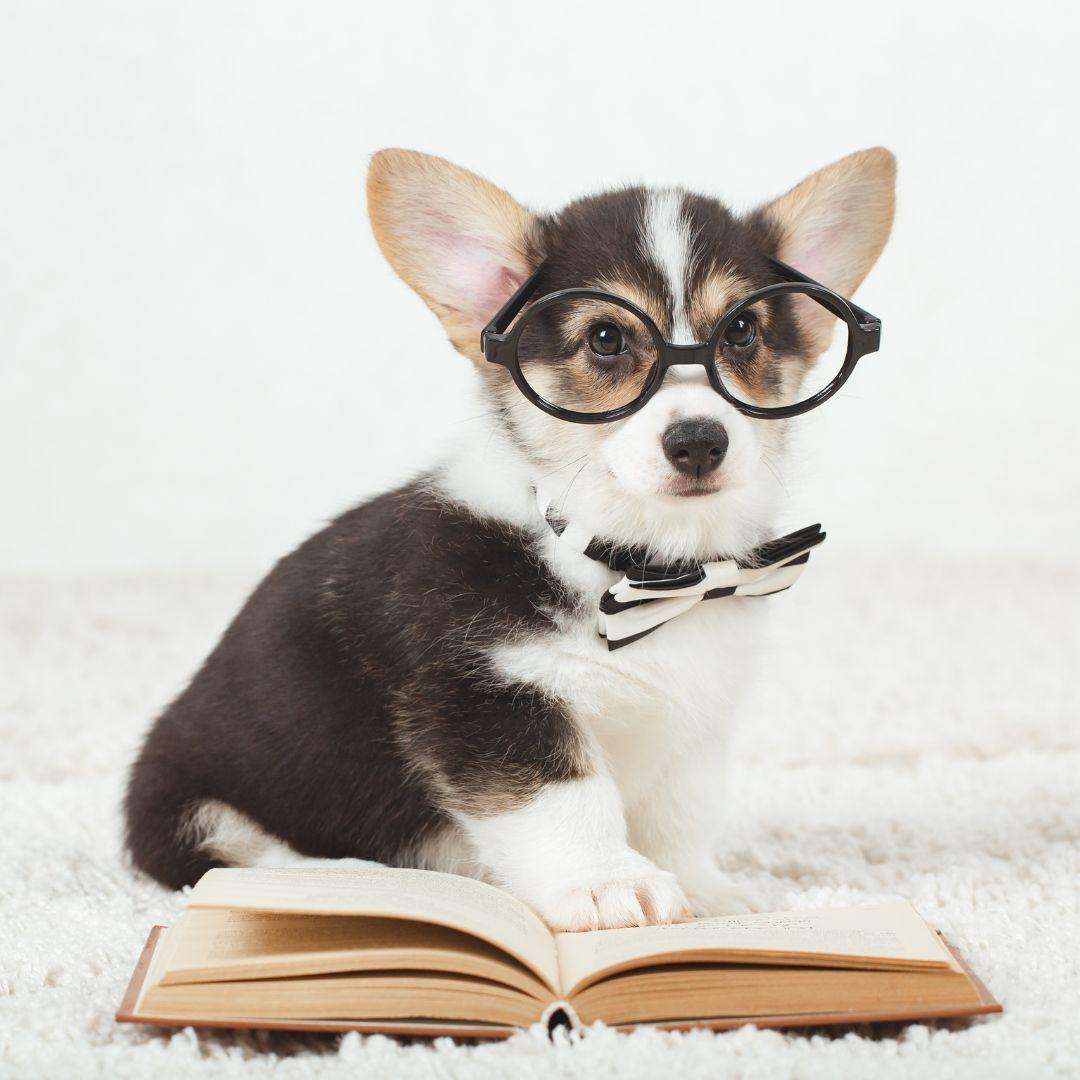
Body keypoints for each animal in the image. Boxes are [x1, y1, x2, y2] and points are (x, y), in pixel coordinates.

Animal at [124, 147, 894, 933]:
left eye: (741, 332)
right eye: (606, 338)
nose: (699, 442)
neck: (633, 565)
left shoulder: (691, 725)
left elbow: (680, 813)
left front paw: (705, 891)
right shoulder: (489, 699)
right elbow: (565, 797)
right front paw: (610, 884)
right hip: (186, 799)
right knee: (237, 856)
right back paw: (351, 878)